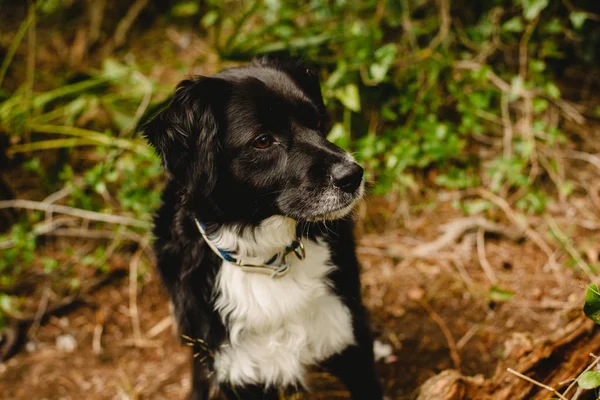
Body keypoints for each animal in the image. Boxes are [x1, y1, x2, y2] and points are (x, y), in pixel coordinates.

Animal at [143, 59, 382, 400]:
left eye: (317, 122)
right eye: (263, 140)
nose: (353, 175)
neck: (267, 258)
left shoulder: (348, 332)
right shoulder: (237, 368)